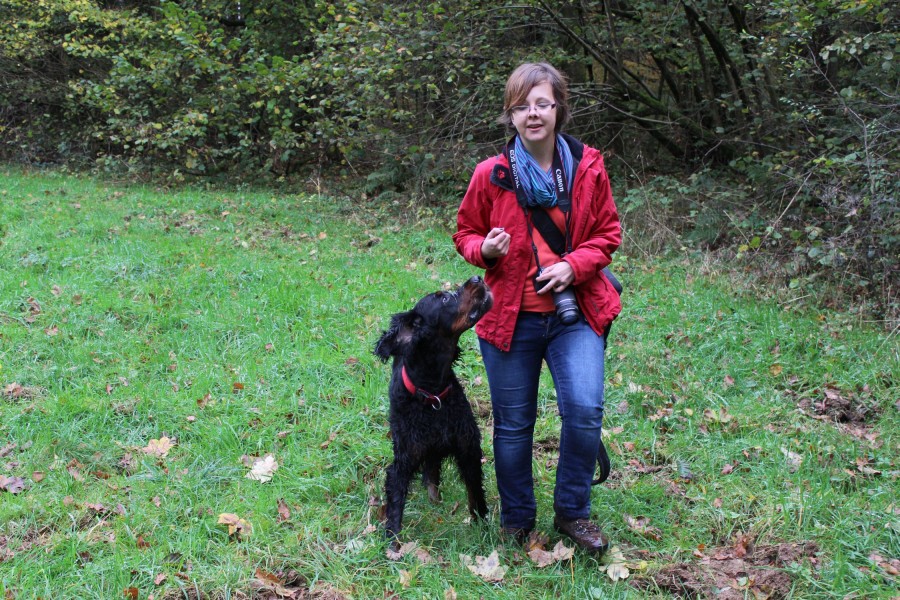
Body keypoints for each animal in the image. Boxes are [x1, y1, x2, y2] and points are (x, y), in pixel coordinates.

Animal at [374, 276, 493, 544]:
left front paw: (482, 527)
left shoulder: (467, 448)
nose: (476, 278)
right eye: (445, 298)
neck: (432, 394)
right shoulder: (404, 457)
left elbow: (475, 493)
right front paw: (393, 544)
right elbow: (396, 502)